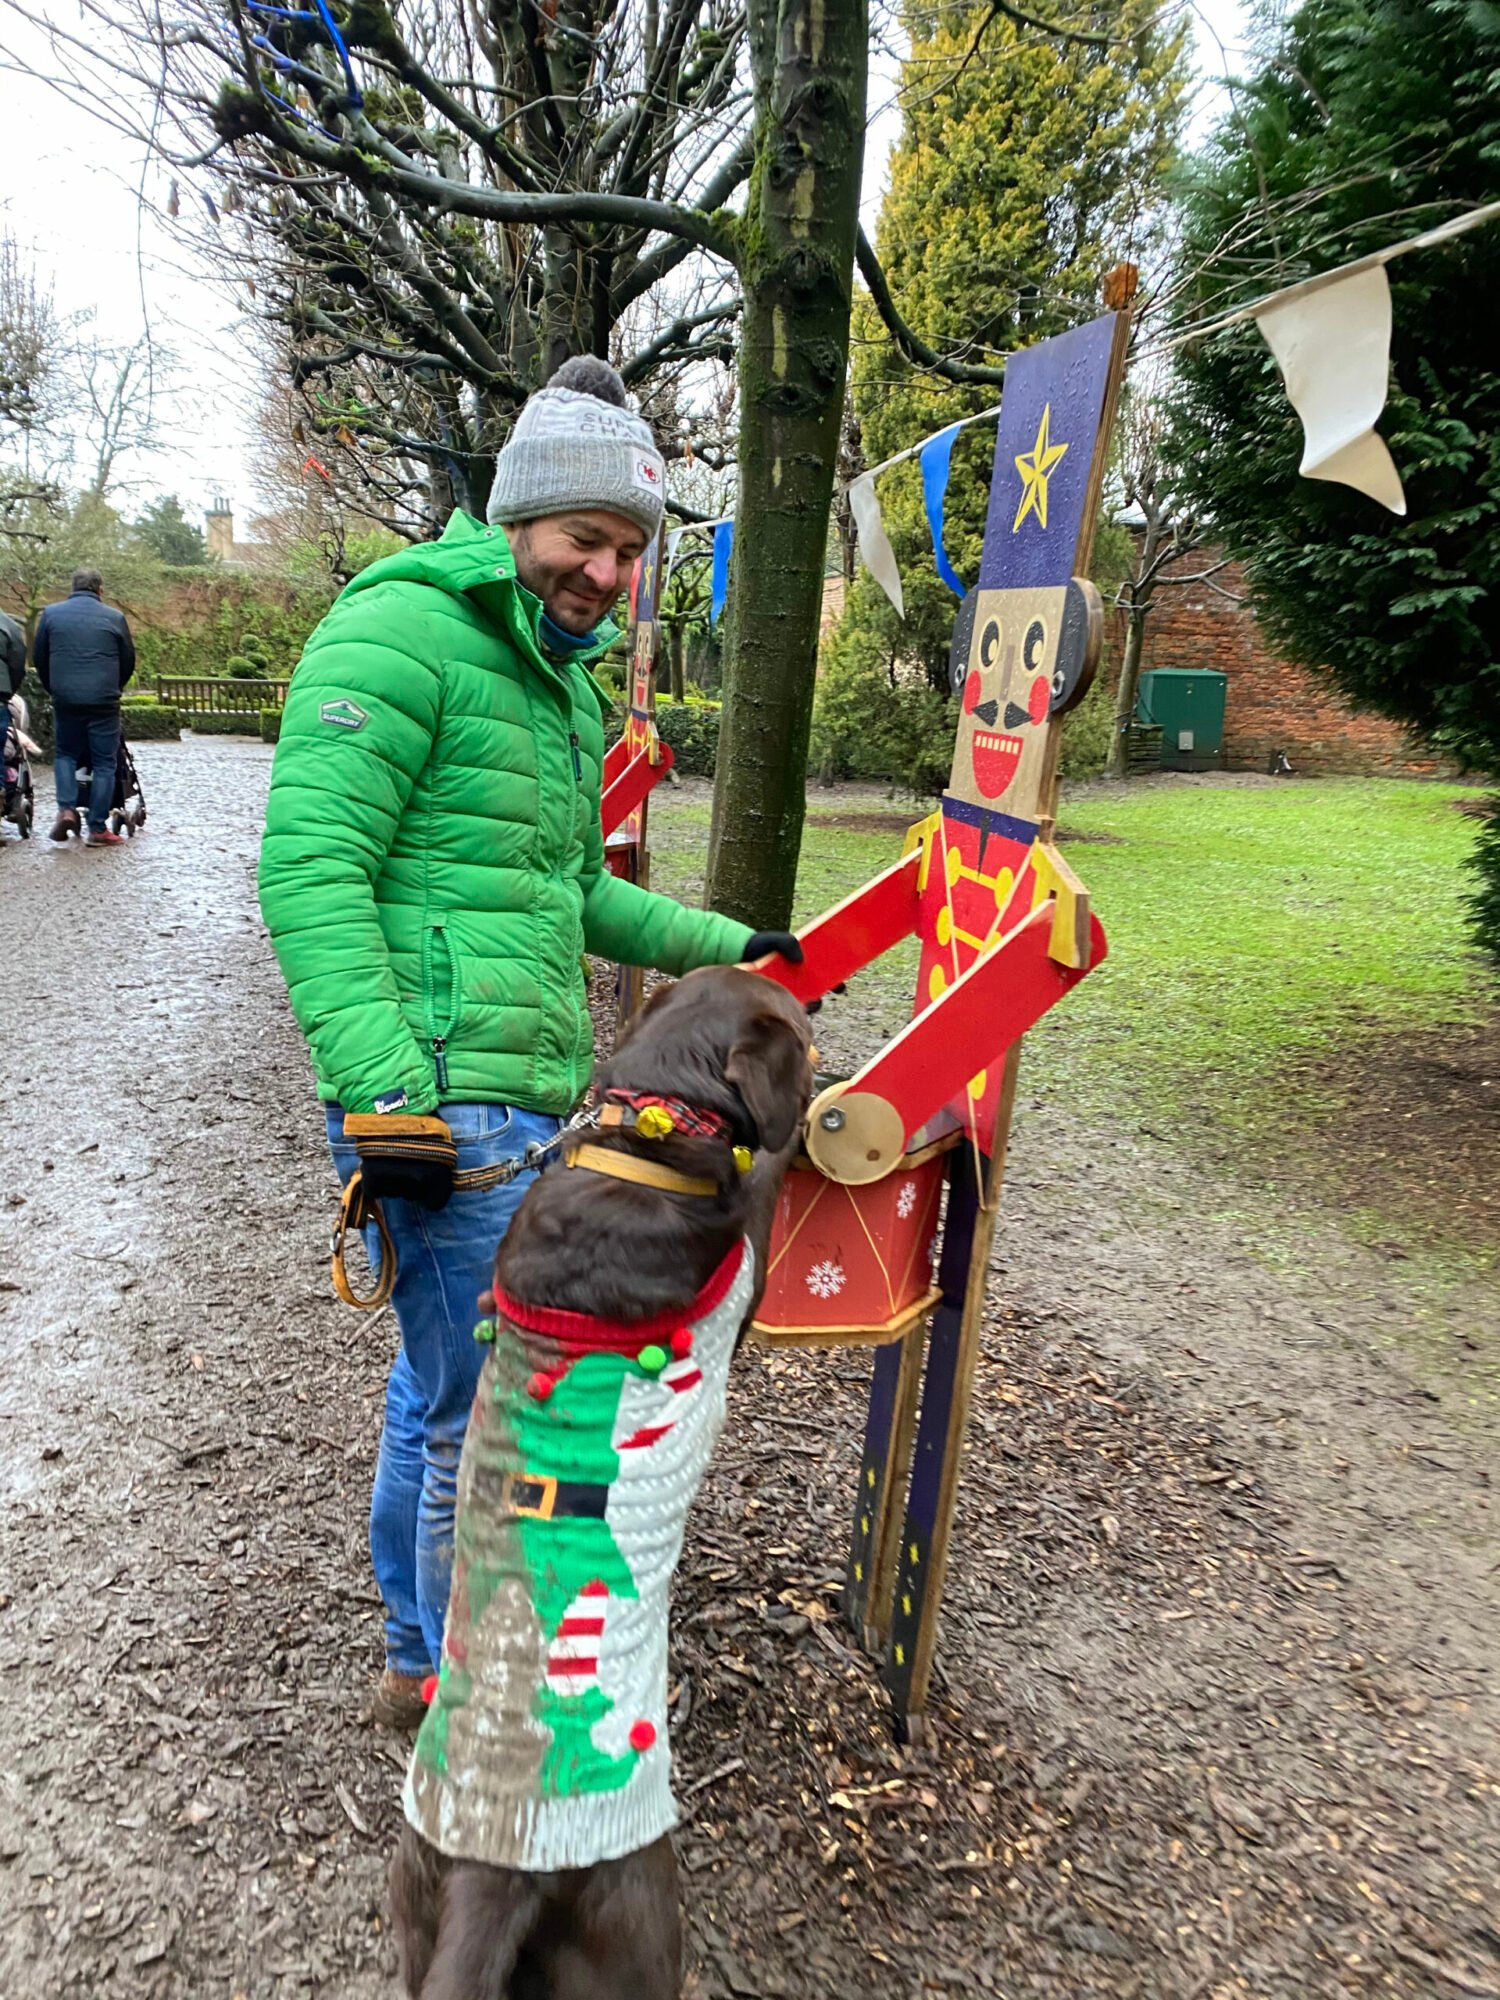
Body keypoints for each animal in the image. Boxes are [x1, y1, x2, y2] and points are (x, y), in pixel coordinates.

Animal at [388, 960, 812, 1992]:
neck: (648, 1138)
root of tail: (491, 1871)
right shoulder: (745, 1261)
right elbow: (770, 1172)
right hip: (641, 1934)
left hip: (413, 1913)